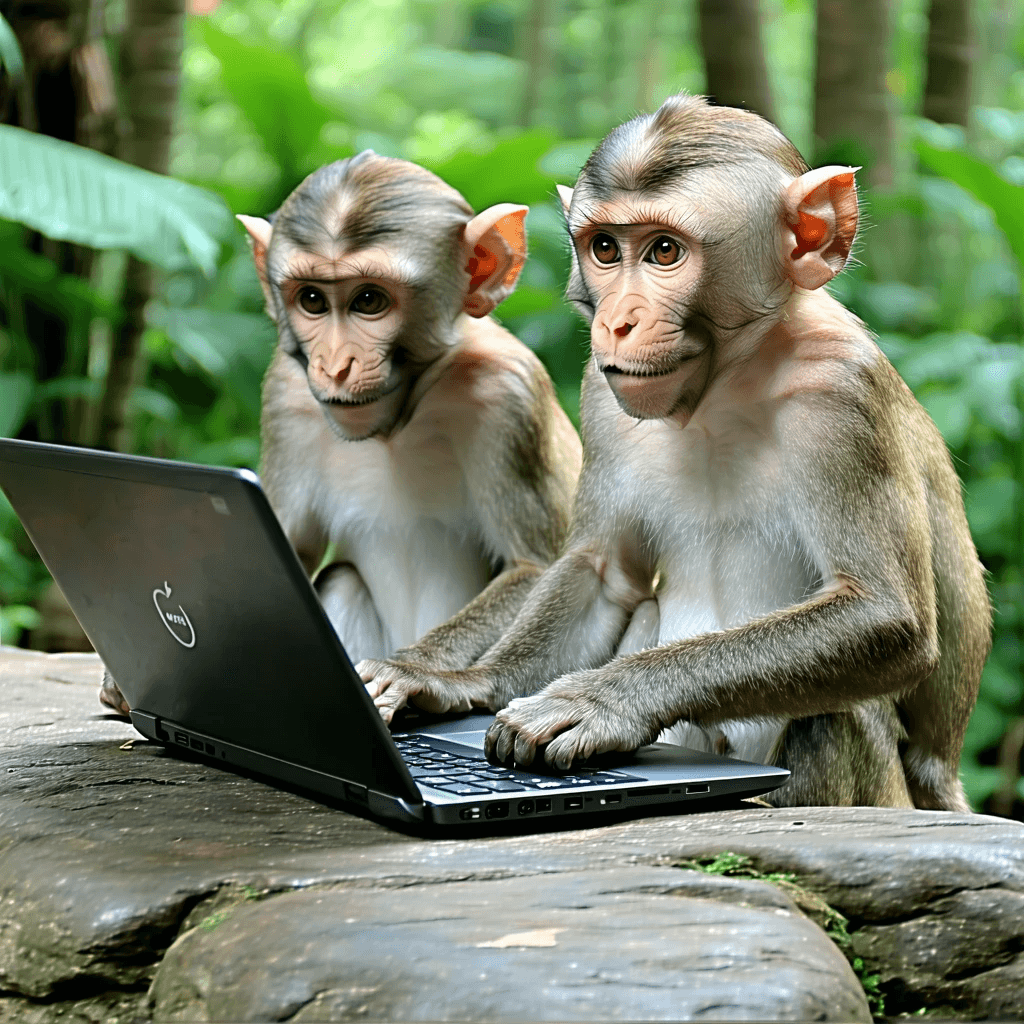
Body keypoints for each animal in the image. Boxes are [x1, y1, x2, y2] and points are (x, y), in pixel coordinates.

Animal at [99, 152, 581, 716]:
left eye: (369, 301)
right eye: (311, 300)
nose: (334, 366)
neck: (401, 419)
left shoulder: (509, 395)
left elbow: (536, 566)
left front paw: (412, 670)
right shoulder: (286, 393)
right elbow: (290, 544)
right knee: (344, 580)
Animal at [362, 95, 992, 811]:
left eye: (665, 250)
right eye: (605, 248)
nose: (617, 321)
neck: (725, 382)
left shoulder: (842, 391)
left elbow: (886, 615)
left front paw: (604, 700)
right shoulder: (602, 394)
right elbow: (602, 573)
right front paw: (450, 682)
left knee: (837, 711)